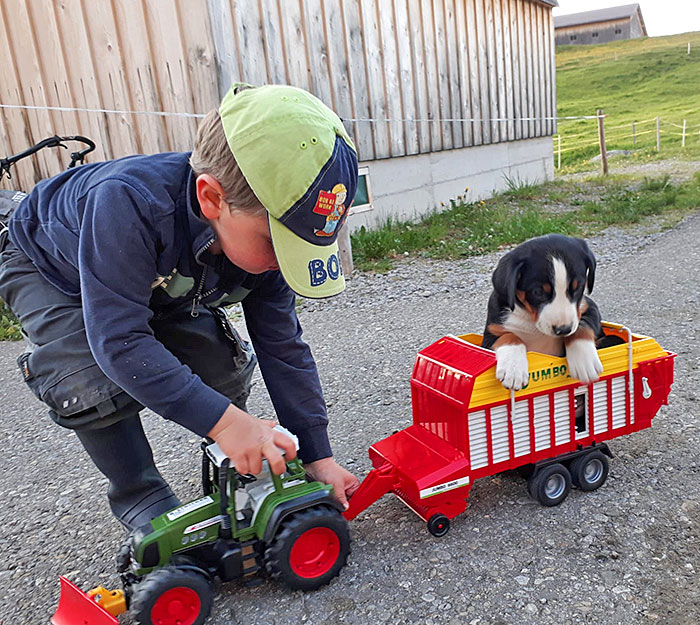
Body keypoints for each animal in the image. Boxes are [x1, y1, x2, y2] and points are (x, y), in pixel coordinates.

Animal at [484, 234, 604, 390]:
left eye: (578, 287)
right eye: (538, 292)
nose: (563, 329)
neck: (531, 322)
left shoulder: (588, 307)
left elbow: (581, 327)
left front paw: (585, 360)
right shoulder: (490, 333)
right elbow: (509, 336)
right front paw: (513, 369)